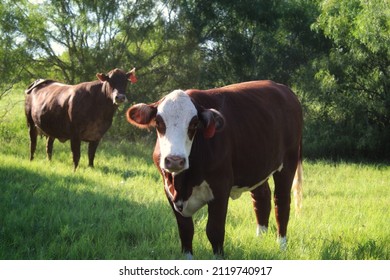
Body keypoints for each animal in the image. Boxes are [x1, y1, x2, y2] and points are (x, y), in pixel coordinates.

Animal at [126, 80, 304, 258]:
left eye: (194, 124)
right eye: (158, 123)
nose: (175, 160)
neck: (183, 183)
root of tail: (284, 88)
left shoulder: (220, 188)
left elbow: (214, 231)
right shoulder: (169, 191)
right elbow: (186, 231)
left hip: (288, 162)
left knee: (281, 202)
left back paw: (281, 245)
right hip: (257, 166)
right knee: (262, 198)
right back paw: (260, 240)